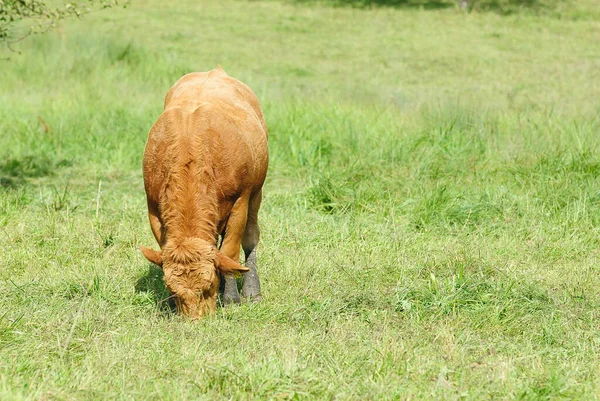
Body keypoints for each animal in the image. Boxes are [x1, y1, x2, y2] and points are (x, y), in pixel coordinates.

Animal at [139, 66, 268, 318]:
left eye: (210, 284)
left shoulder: (240, 202)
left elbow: (230, 251)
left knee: (250, 239)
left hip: (256, 195)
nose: (196, 321)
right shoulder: (153, 207)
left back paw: (252, 291)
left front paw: (230, 298)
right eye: (171, 288)